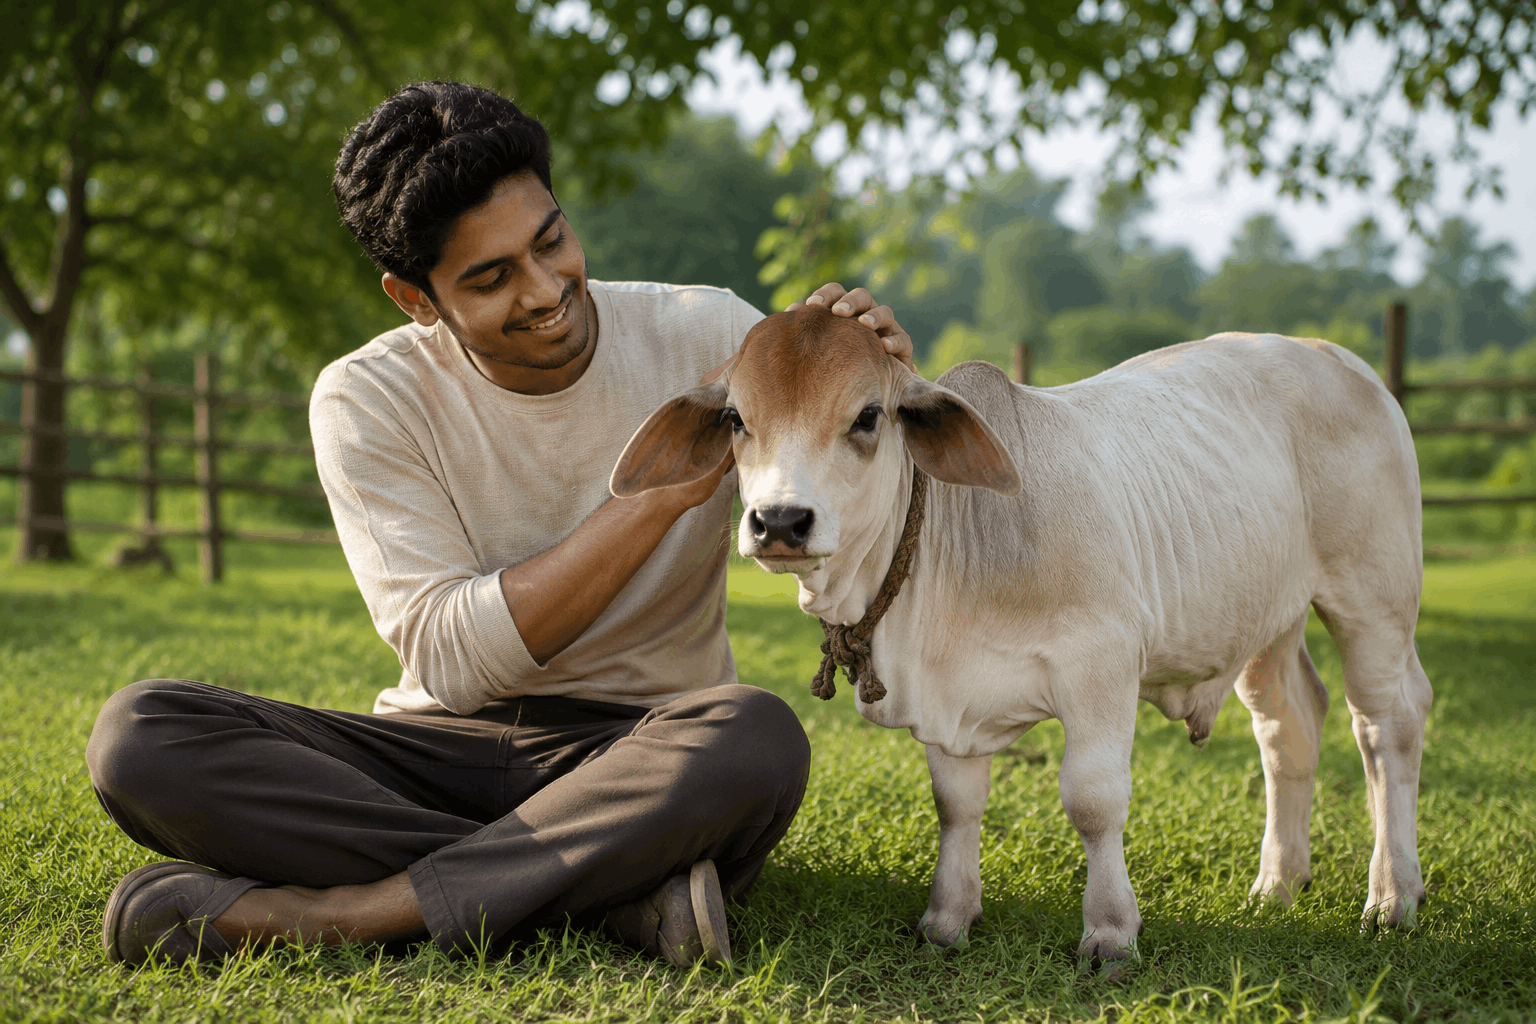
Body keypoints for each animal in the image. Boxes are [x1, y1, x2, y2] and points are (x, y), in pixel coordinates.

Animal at [610, 305, 1431, 970]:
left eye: (868, 416)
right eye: (736, 420)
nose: (779, 521)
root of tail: (1339, 357)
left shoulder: (1102, 666)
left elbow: (1093, 801)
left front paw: (1111, 932)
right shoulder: (948, 710)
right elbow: (955, 804)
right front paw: (947, 918)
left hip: (1373, 598)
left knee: (1386, 725)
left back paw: (1392, 896)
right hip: (1266, 620)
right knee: (1289, 724)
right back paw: (1277, 885)